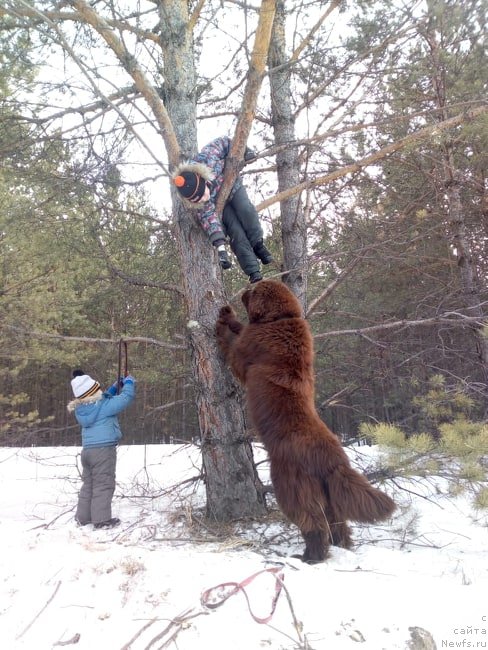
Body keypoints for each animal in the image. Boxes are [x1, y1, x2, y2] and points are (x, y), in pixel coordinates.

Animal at [215, 278, 394, 560]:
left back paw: (310, 557)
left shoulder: (243, 355)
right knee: (338, 524)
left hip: (291, 485)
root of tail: (334, 460)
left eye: (254, 291)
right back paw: (339, 548)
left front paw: (224, 318)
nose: (248, 285)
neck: (281, 319)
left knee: (313, 522)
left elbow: (232, 345)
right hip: (328, 493)